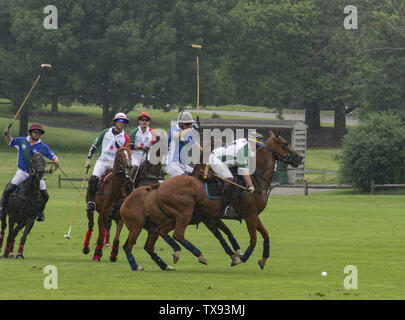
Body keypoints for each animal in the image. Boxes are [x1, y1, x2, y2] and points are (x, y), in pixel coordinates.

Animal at [118, 130, 302, 270]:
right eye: (285, 144)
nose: (299, 158)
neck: (258, 180)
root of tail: (160, 187)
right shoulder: (248, 214)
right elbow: (253, 239)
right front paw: (242, 257)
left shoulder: (249, 215)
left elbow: (264, 235)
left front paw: (260, 260)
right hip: (183, 213)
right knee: (176, 234)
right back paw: (196, 255)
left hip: (172, 218)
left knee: (159, 233)